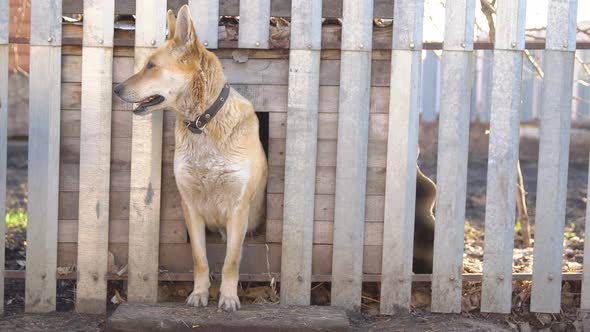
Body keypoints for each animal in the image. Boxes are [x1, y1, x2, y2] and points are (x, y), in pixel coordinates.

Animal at [112, 5, 268, 312]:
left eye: (151, 66)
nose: (117, 89)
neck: (202, 123)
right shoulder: (190, 207)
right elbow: (199, 258)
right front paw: (199, 293)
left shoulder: (238, 208)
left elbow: (231, 261)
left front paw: (228, 297)